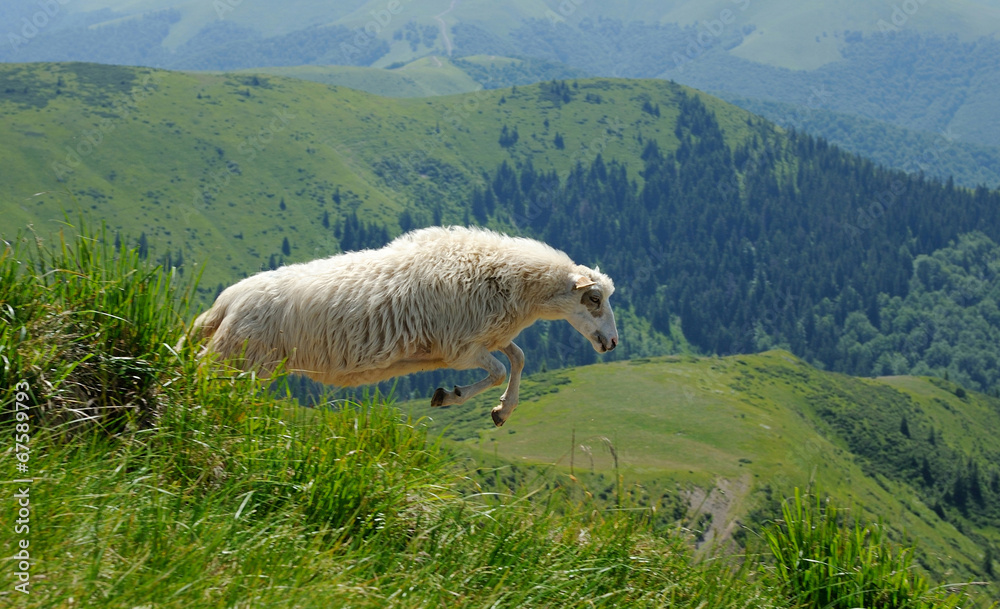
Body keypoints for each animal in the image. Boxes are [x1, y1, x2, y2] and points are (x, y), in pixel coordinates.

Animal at [193, 226, 616, 426]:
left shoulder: (488, 337)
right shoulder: (458, 348)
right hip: (239, 357)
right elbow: (498, 370)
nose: (611, 342)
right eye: (594, 298)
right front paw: (449, 395)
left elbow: (519, 358)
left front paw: (503, 411)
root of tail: (226, 300)